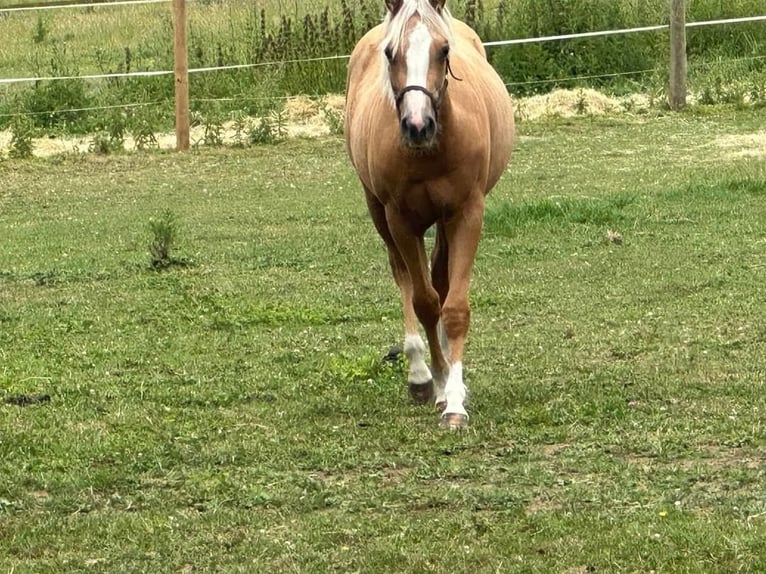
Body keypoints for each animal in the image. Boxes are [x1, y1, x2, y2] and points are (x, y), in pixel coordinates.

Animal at [346, 0, 516, 430]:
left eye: (443, 50)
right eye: (391, 52)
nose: (417, 125)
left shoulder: (467, 214)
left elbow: (452, 307)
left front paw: (455, 399)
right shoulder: (400, 220)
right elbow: (424, 301)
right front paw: (438, 383)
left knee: (440, 281)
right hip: (380, 214)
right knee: (406, 279)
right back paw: (421, 375)